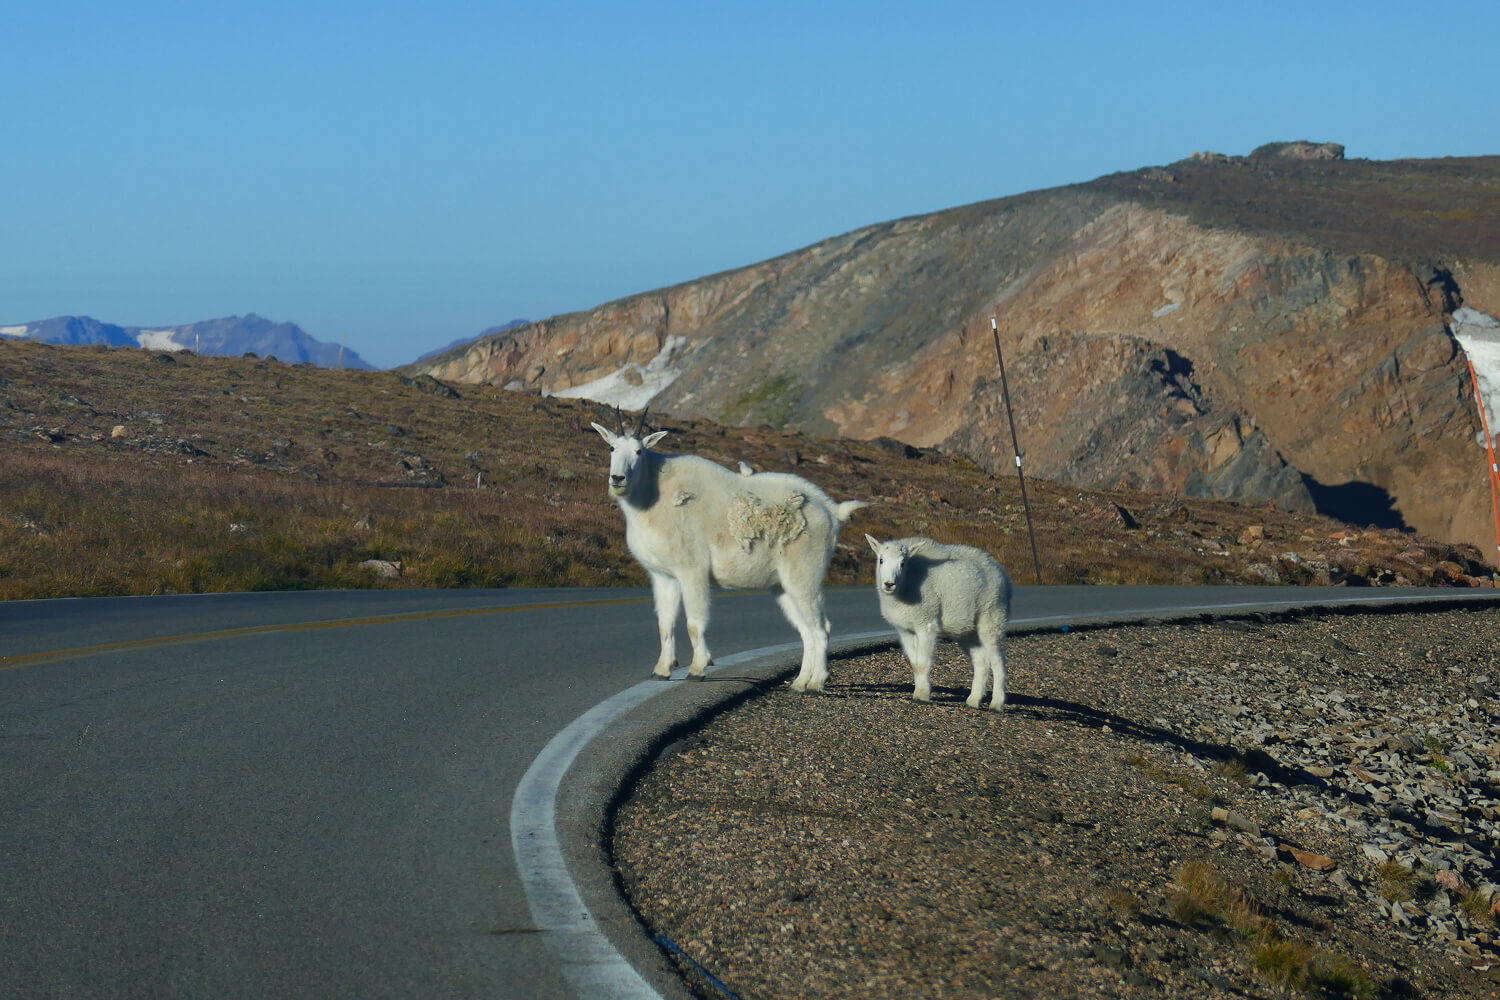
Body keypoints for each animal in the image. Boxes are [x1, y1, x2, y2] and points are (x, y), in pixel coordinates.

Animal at [592, 410, 868, 691]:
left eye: (639, 451)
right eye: (612, 448)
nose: (618, 479)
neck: (650, 496)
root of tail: (831, 511)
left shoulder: (692, 570)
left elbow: (694, 623)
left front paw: (698, 669)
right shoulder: (663, 575)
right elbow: (664, 624)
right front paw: (661, 670)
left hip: (805, 574)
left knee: (821, 628)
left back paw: (816, 682)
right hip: (783, 584)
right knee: (807, 630)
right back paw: (799, 682)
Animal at [865, 535, 1012, 711]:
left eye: (902, 563)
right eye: (881, 560)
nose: (888, 584)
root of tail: (1003, 576)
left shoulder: (926, 624)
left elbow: (923, 663)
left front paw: (922, 695)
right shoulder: (905, 629)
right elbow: (914, 663)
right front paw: (917, 693)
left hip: (992, 617)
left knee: (998, 661)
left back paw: (996, 703)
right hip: (968, 630)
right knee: (981, 661)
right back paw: (973, 700)